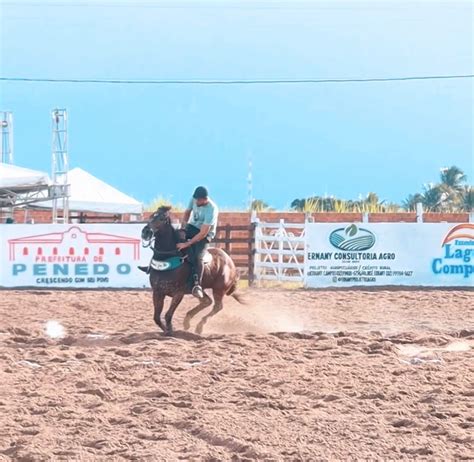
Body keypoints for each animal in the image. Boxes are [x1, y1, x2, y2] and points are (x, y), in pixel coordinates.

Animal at [140, 207, 244, 336]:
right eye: (151, 217)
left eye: (162, 218)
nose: (146, 232)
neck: (167, 257)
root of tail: (230, 262)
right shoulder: (157, 292)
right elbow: (156, 317)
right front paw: (166, 330)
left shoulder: (178, 293)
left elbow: (168, 315)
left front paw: (170, 330)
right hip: (200, 289)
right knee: (207, 301)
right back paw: (187, 321)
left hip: (219, 289)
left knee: (217, 306)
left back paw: (199, 326)